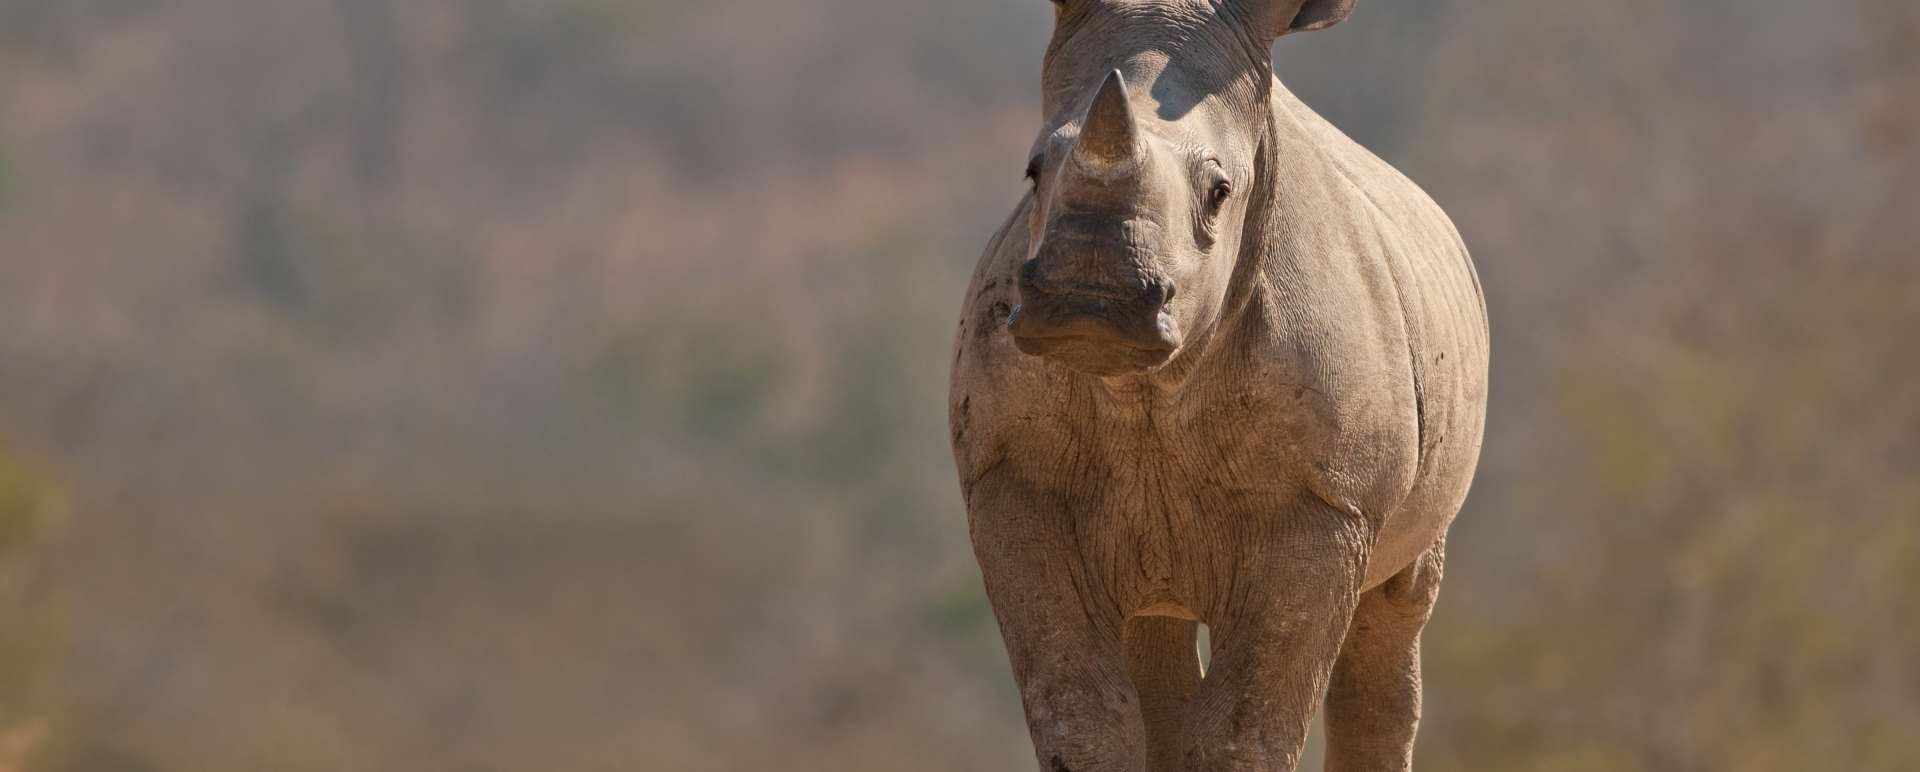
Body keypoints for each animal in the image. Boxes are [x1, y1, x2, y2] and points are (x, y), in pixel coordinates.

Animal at [947, 1, 1489, 770]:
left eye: (1220, 192)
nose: (1091, 302)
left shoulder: (1327, 505)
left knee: (1395, 613)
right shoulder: (1011, 482)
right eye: (1031, 170)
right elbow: (1077, 712)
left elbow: (1244, 727)